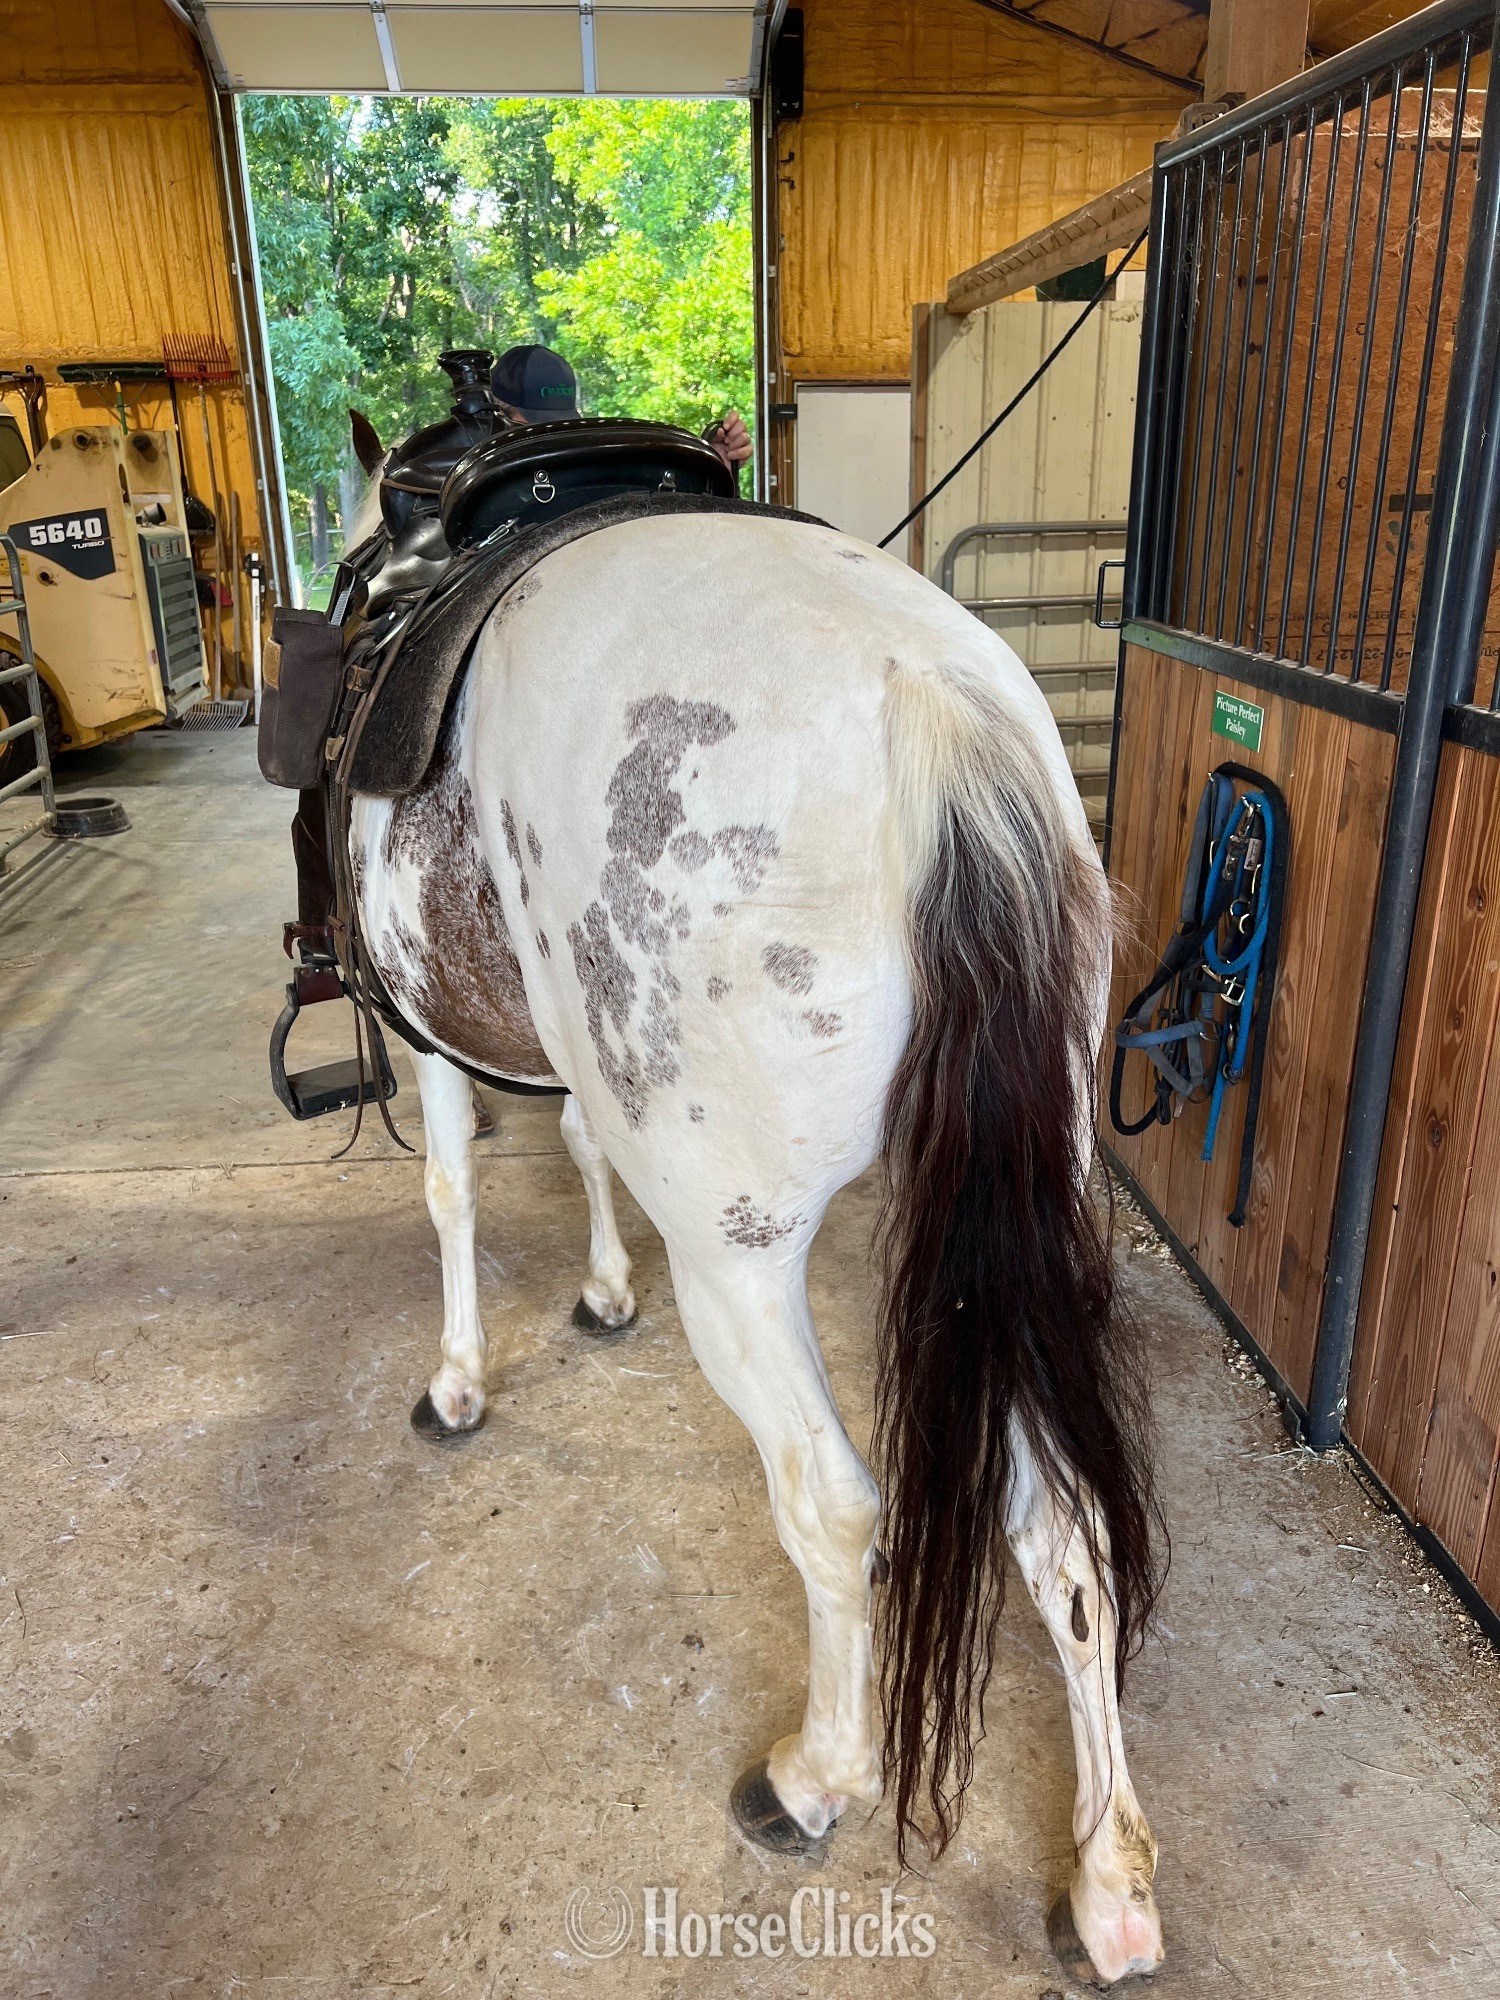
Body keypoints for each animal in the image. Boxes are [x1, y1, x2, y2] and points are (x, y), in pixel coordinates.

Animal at [343, 499, 1163, 1986]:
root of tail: (935, 709)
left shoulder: (422, 1027)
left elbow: (449, 1185)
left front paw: (457, 1381)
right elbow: (578, 1139)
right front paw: (603, 1291)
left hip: (737, 1265)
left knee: (835, 1506)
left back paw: (813, 1780)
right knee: (1065, 1521)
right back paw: (1109, 1885)